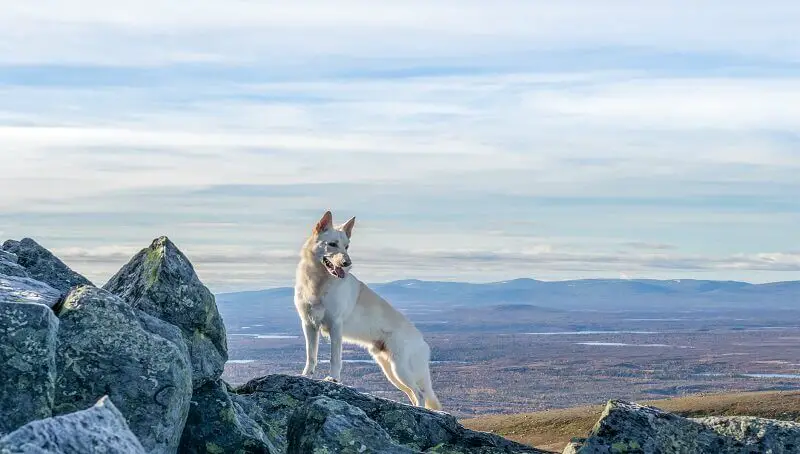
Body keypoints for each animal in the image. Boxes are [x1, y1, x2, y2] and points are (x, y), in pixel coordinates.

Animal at [296, 211, 444, 410]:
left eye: (347, 247)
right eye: (332, 244)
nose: (347, 263)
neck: (319, 283)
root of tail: (422, 341)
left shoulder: (335, 326)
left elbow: (335, 358)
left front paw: (333, 379)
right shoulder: (309, 325)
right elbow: (311, 355)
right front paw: (306, 375)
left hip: (400, 370)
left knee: (420, 394)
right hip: (392, 373)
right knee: (413, 395)